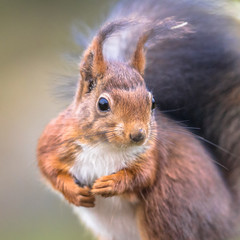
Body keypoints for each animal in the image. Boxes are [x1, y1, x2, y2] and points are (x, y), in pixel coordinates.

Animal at [37, 0, 240, 239]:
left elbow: (144, 174)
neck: (106, 145)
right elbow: (46, 166)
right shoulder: (56, 138)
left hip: (166, 207)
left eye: (152, 102)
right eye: (102, 104)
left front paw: (111, 184)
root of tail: (230, 220)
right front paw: (73, 192)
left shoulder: (152, 152)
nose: (138, 135)